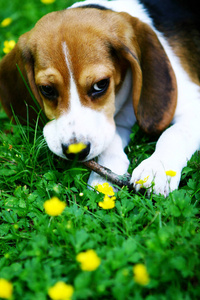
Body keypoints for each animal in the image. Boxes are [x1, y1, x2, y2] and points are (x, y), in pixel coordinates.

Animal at [0, 0, 200, 196]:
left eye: (100, 84)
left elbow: (173, 133)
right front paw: (104, 179)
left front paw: (156, 170)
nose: (76, 151)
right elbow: (110, 141)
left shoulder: (193, 108)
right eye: (47, 89)